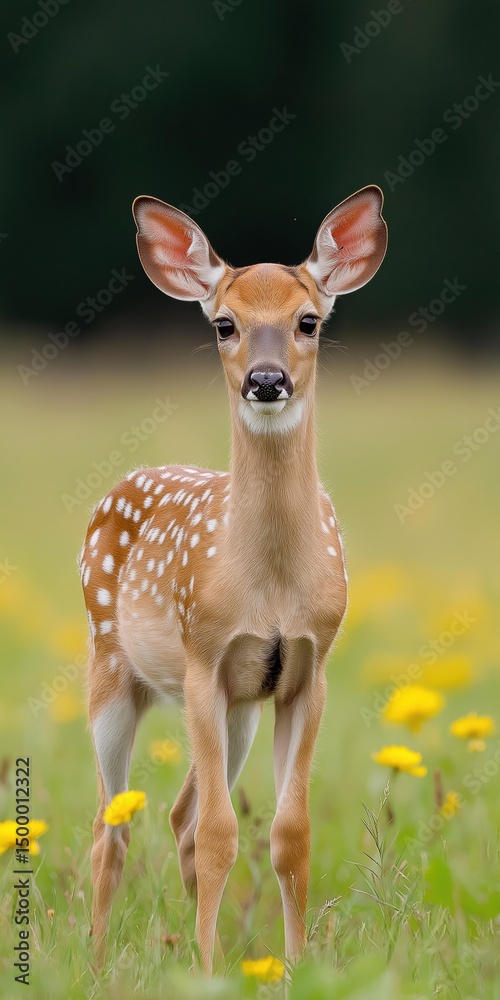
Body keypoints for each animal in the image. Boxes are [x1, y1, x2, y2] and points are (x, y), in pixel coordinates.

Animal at [80, 185, 387, 975]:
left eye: (308, 321)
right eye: (225, 324)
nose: (267, 381)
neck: (270, 584)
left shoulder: (307, 667)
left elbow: (289, 831)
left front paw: (291, 966)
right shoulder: (202, 658)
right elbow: (224, 832)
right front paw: (209, 971)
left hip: (242, 707)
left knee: (178, 815)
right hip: (110, 667)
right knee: (111, 823)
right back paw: (96, 961)